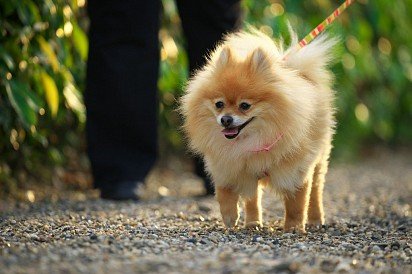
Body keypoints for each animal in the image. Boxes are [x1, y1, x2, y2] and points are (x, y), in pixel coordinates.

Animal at [182, 28, 336, 232]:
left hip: (319, 159)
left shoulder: (295, 170)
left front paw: (294, 227)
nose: (225, 119)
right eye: (219, 104)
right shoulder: (227, 165)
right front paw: (230, 217)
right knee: (253, 199)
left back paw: (315, 219)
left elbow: (296, 203)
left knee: (316, 191)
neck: (252, 140)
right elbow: (225, 193)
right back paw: (252, 223)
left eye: (245, 106)